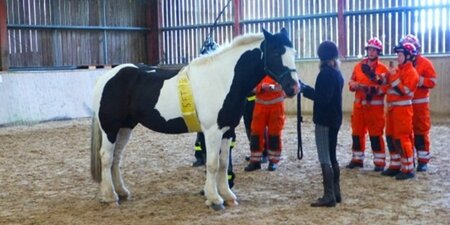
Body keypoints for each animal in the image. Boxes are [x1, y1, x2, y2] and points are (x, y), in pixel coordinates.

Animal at [90, 27, 300, 209]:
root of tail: (105, 77)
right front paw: (214, 199)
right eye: (275, 52)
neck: (222, 79)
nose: (294, 87)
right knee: (107, 157)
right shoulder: (212, 131)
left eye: (293, 52)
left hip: (125, 127)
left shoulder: (227, 130)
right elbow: (213, 164)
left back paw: (122, 192)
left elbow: (224, 163)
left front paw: (228, 196)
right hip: (110, 128)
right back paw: (110, 197)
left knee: (116, 158)